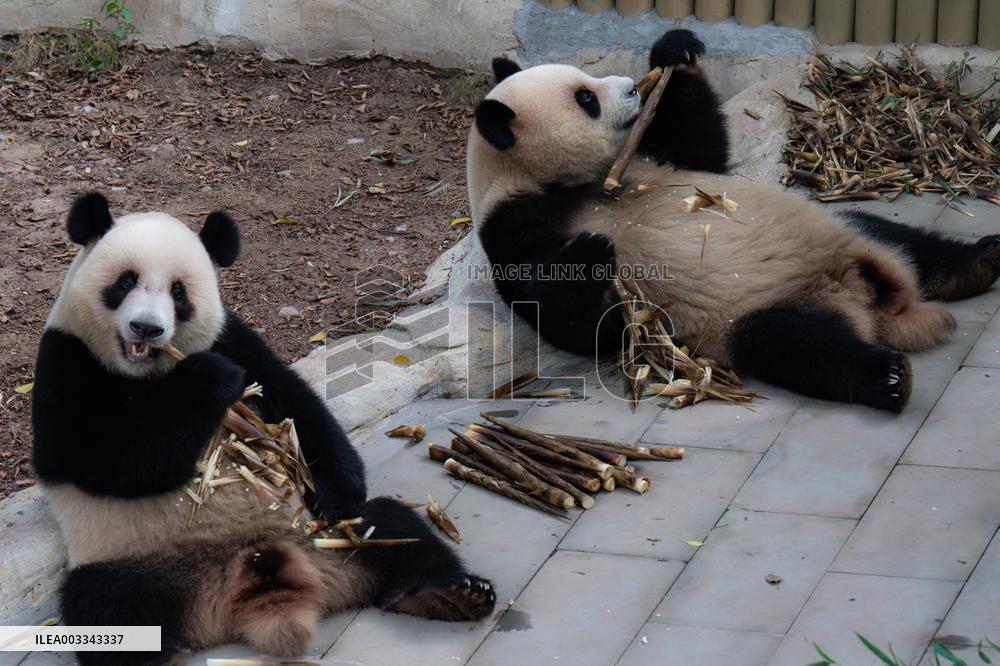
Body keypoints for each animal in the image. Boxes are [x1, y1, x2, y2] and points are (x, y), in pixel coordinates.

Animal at [32, 193, 495, 666]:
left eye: (179, 292)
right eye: (126, 282)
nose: (147, 327)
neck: (148, 371)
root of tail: (249, 587)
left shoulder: (232, 336)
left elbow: (297, 406)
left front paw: (334, 492)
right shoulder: (66, 358)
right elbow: (101, 456)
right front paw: (207, 379)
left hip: (324, 536)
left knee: (392, 527)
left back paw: (449, 595)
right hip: (138, 564)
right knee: (107, 608)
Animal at [469, 29, 1000, 413]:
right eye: (586, 98)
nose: (631, 88)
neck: (565, 183)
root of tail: (873, 300)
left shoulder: (654, 157)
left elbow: (705, 151)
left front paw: (675, 51)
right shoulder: (513, 228)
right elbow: (572, 320)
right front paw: (592, 251)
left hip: (843, 229)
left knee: (898, 237)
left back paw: (978, 262)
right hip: (760, 312)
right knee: (795, 346)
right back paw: (889, 377)